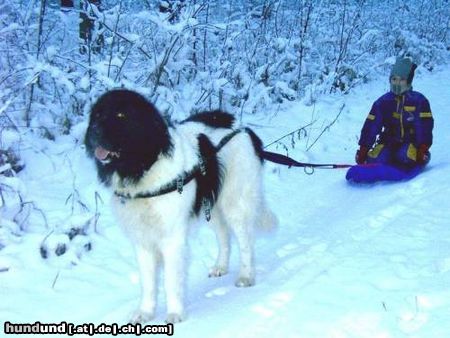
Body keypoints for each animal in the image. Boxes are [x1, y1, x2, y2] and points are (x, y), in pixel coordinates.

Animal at [83, 89, 274, 322]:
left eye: (121, 115)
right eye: (97, 115)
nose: (92, 131)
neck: (145, 168)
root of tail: (242, 127)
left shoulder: (172, 238)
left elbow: (171, 280)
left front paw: (174, 314)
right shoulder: (143, 239)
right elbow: (148, 282)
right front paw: (144, 313)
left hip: (235, 202)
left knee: (245, 241)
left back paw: (246, 276)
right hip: (211, 205)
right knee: (224, 236)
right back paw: (221, 266)